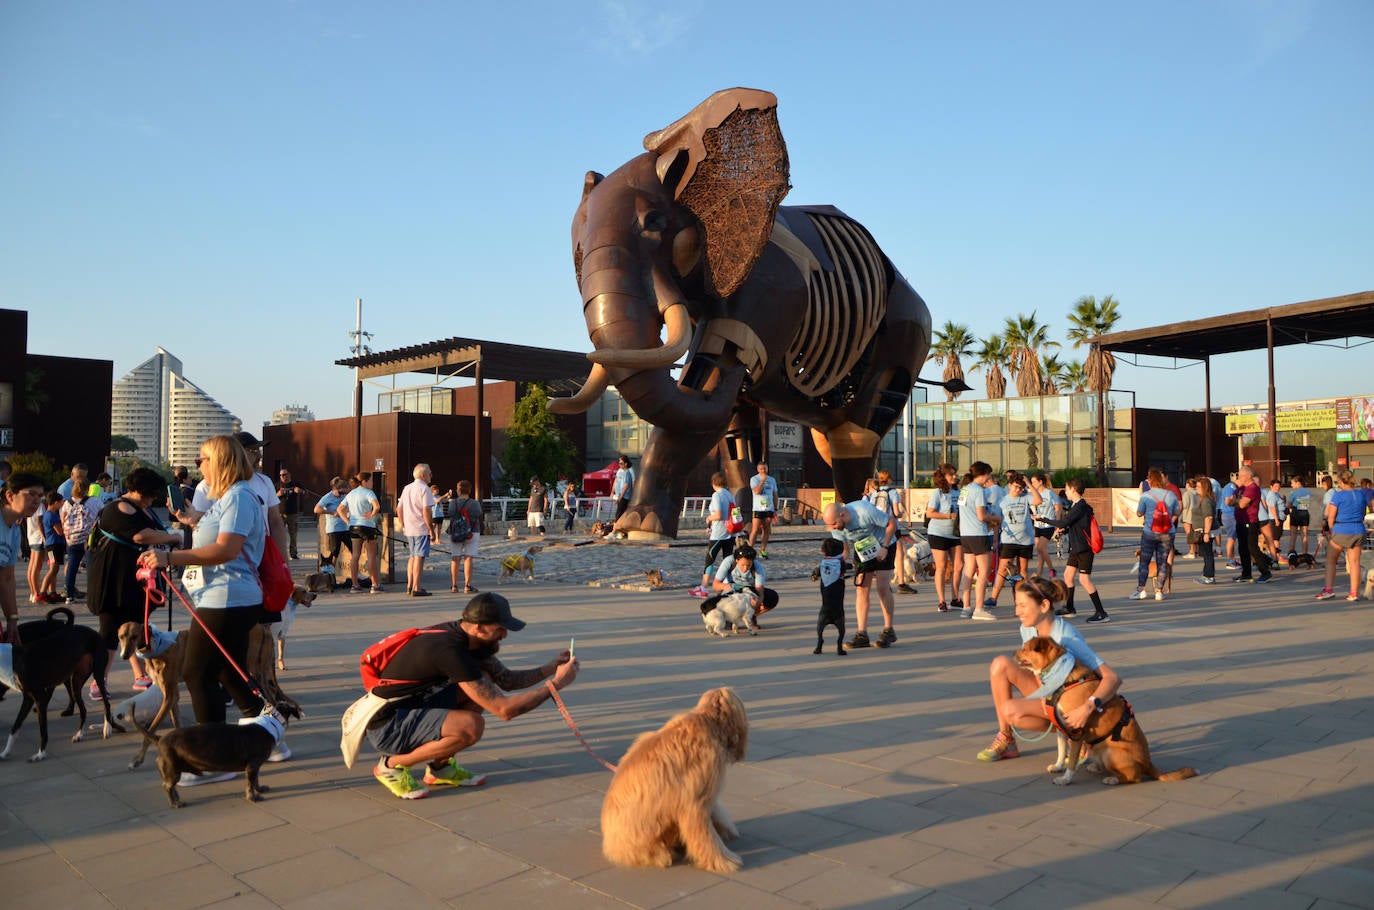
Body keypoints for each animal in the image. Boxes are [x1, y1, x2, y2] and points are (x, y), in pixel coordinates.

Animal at [0, 621, 122, 764]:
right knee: (83, 709)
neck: (13, 660)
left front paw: (40, 754)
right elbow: (15, 727)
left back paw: (107, 728)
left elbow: (43, 730)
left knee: (106, 703)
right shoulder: (28, 699)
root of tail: (96, 633)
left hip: (98, 675)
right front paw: (5, 752)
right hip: (76, 684)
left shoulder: (40, 699)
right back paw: (79, 734)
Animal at [133, 714, 284, 813]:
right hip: (172, 768)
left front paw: (260, 789)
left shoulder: (254, 766)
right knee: (167, 786)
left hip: (172, 770)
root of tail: (159, 739)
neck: (269, 725)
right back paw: (174, 804)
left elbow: (255, 780)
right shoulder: (252, 765)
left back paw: (177, 799)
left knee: (170, 785)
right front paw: (253, 797)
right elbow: (250, 784)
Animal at [1016, 637, 1198, 786]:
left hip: (1110, 752)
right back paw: (1096, 768)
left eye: (1025, 648)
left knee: (1134, 777)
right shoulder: (1061, 726)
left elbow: (1072, 760)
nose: (1013, 653)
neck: (1059, 673)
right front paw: (1058, 766)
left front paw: (1065, 779)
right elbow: (1062, 751)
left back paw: (1112, 779)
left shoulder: (1076, 730)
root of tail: (1148, 764)